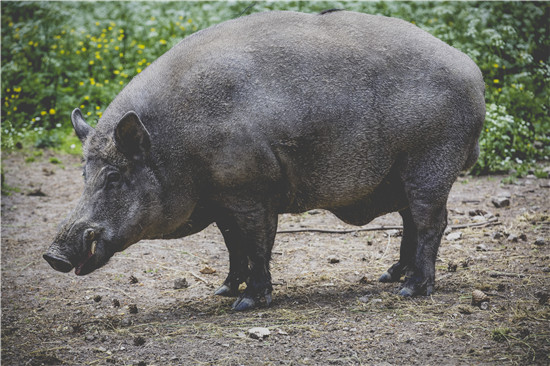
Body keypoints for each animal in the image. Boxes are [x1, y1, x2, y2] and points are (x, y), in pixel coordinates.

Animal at [43, 10, 486, 310]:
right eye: (84, 174)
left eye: (114, 177)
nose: (53, 254)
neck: (177, 145)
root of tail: (474, 72)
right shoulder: (222, 201)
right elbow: (232, 245)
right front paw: (223, 290)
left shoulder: (250, 189)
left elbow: (256, 243)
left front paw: (246, 303)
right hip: (401, 172)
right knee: (410, 219)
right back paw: (388, 276)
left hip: (431, 160)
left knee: (431, 221)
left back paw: (411, 289)